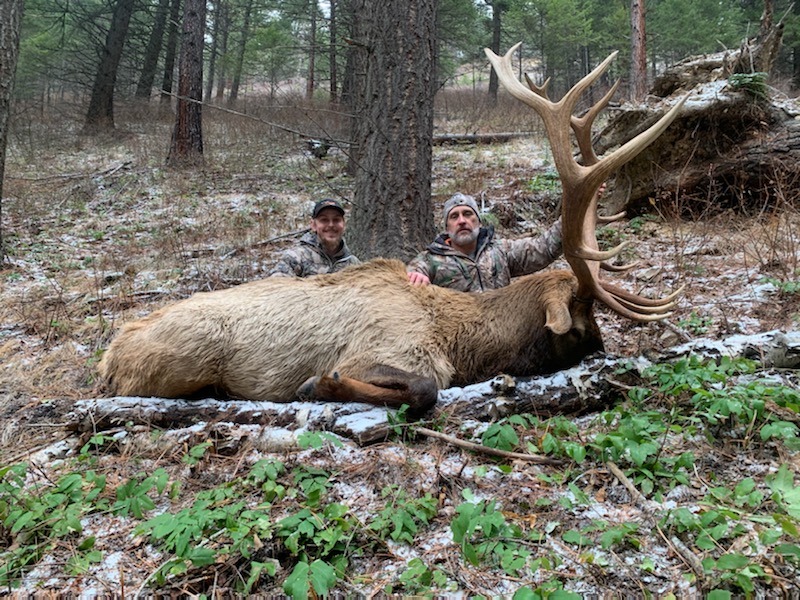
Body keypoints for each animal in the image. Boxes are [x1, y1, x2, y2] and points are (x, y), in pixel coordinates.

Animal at [98, 44, 687, 414]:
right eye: (584, 319)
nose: (605, 352)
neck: (462, 339)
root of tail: (108, 356)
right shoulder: (396, 351)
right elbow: (422, 388)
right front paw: (319, 382)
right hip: (184, 358)